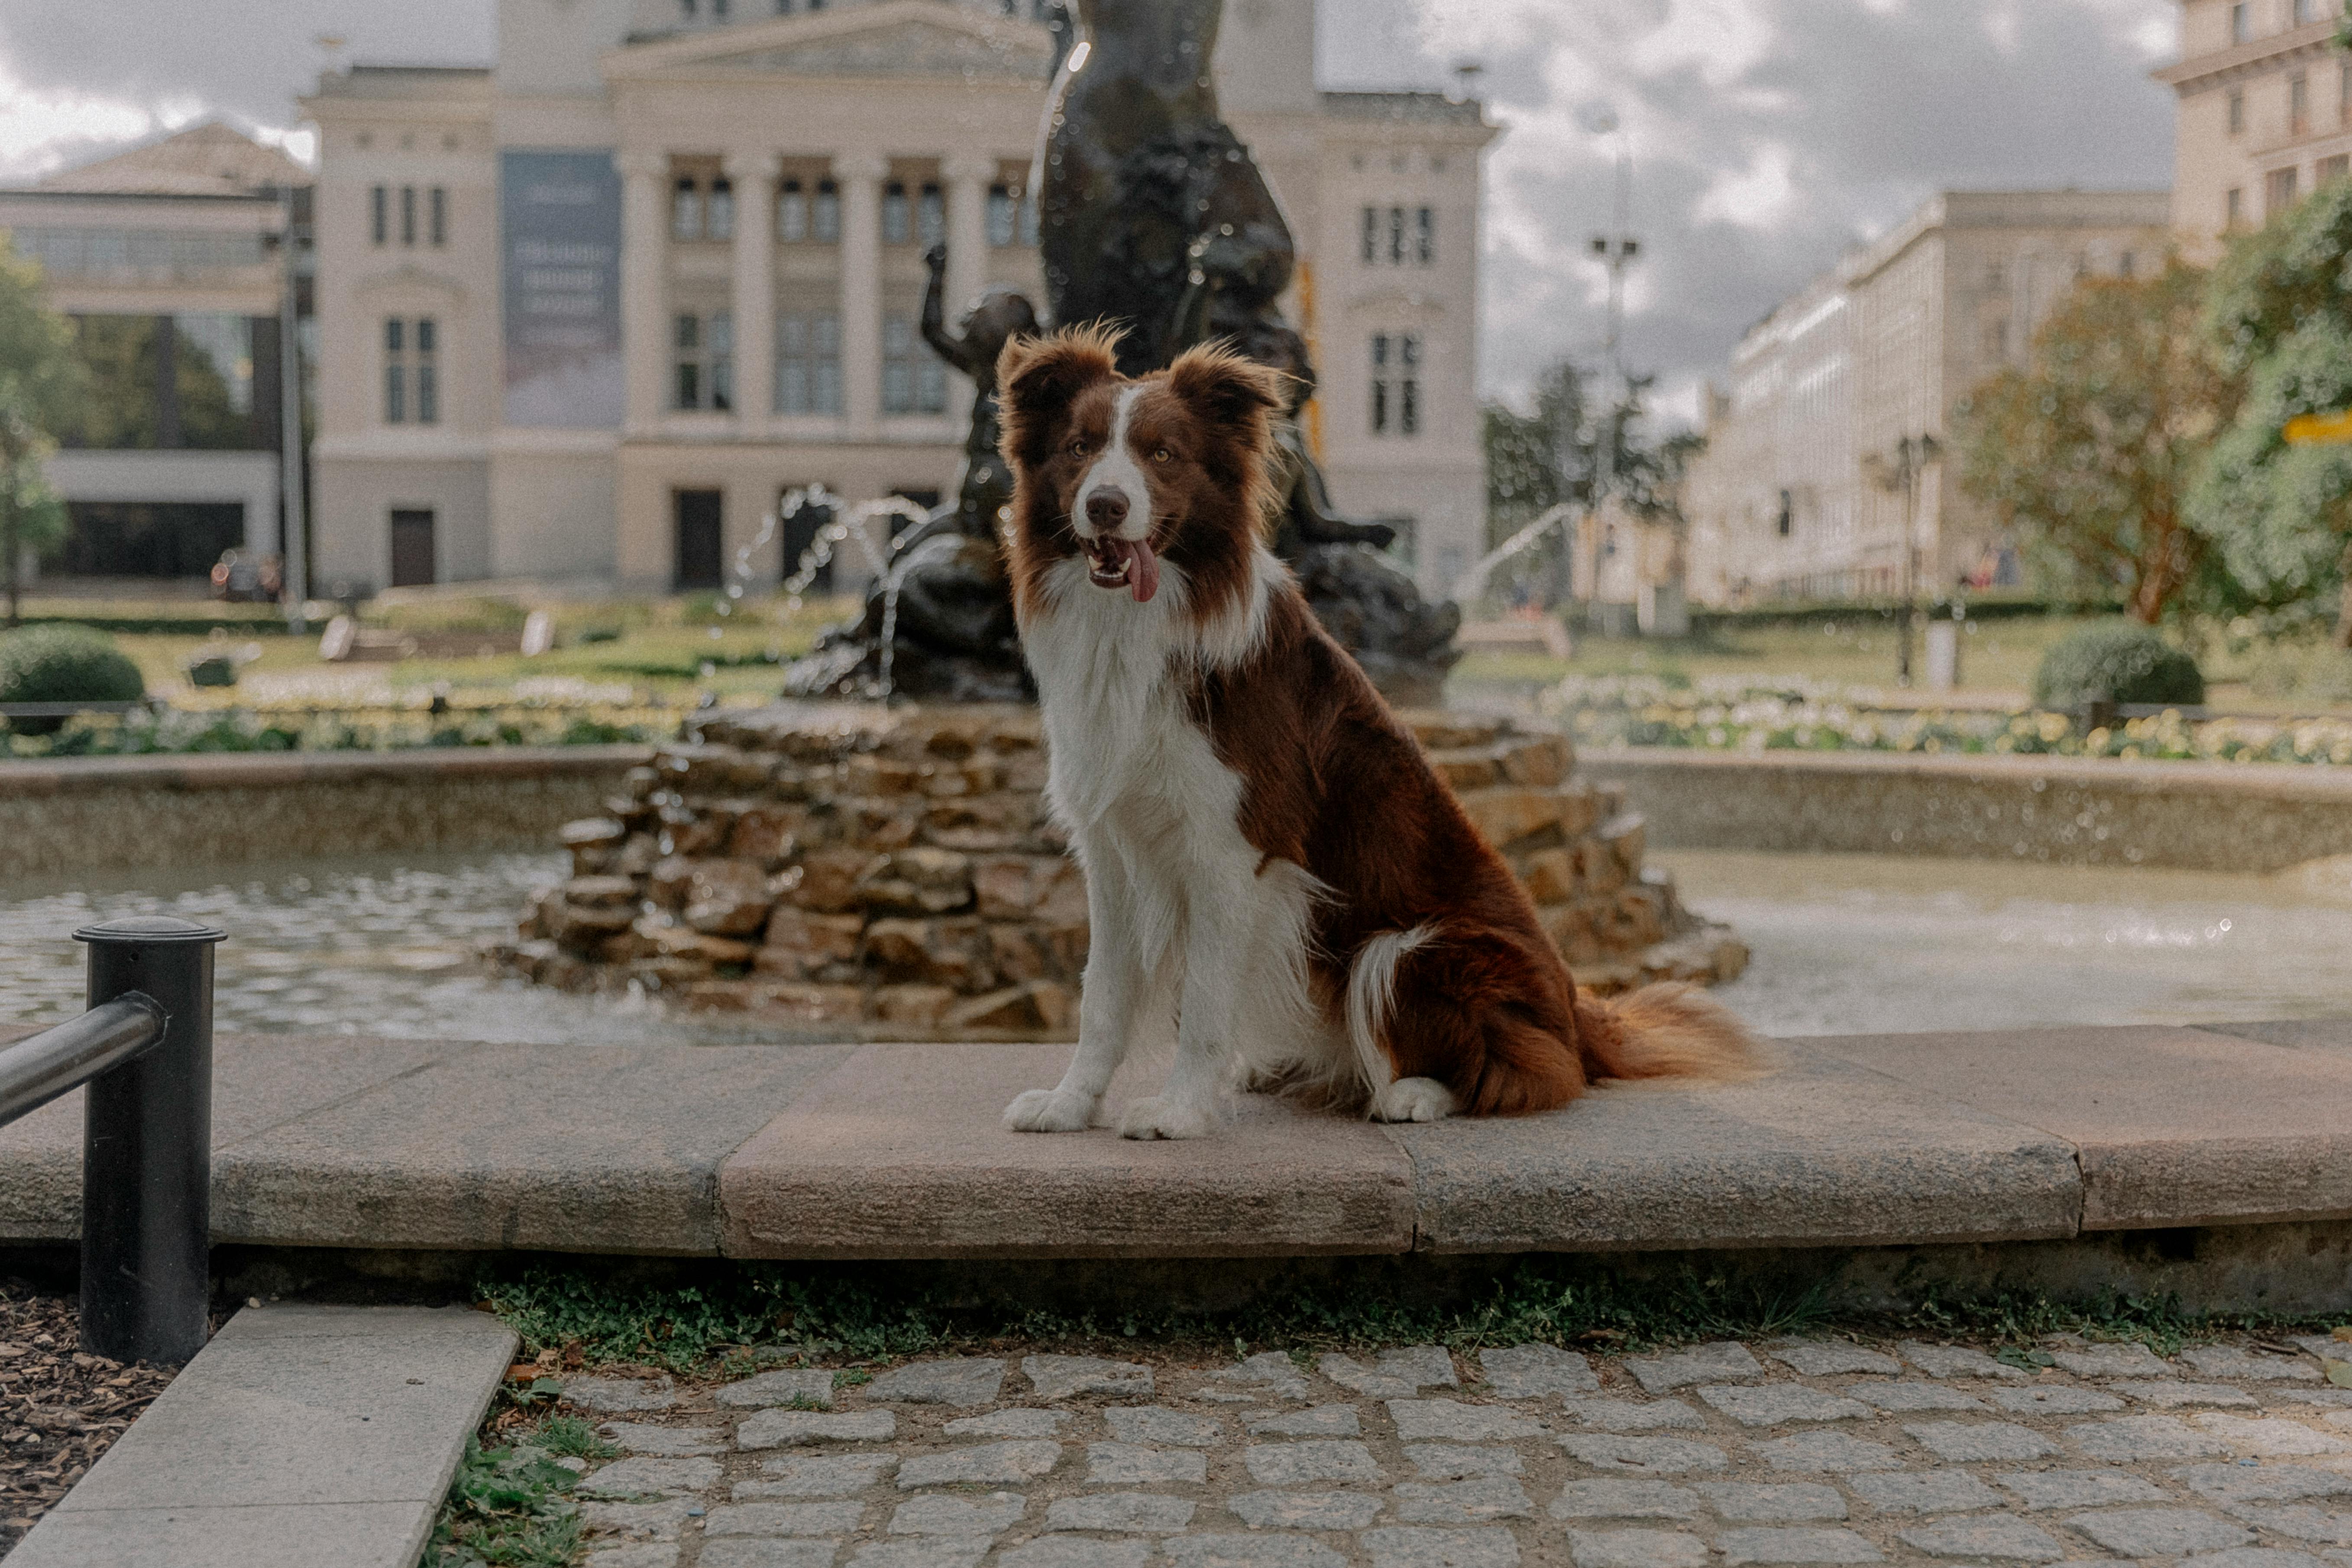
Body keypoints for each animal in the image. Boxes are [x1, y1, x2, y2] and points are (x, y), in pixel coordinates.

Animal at [988, 329, 1750, 1142]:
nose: (1105, 505)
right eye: (1079, 447)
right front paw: (1070, 1103)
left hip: (1414, 948)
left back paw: (1413, 1094)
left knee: (1527, 1071)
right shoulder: (1112, 846)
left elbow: (1204, 1001)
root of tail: (1576, 1015)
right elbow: (1100, 995)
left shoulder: (1232, 848)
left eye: (1162, 454)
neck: (1139, 625)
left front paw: (1180, 1110)